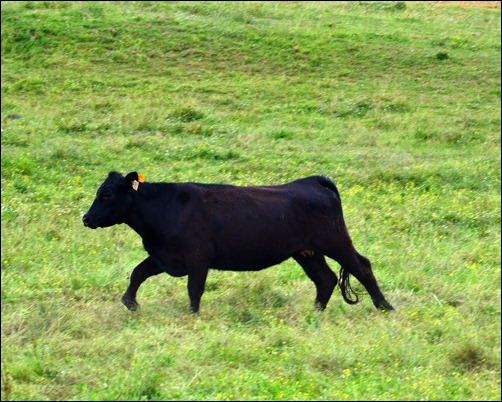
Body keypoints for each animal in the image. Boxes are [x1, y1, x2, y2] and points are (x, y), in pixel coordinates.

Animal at [82, 171, 394, 312]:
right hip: (307, 251)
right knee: (325, 279)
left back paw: (384, 307)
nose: (86, 218)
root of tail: (312, 181)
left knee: (362, 267)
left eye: (107, 194)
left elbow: (194, 289)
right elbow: (138, 272)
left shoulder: (198, 257)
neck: (166, 207)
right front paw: (130, 303)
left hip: (335, 241)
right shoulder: (164, 255)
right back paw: (316, 311)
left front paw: (192, 315)